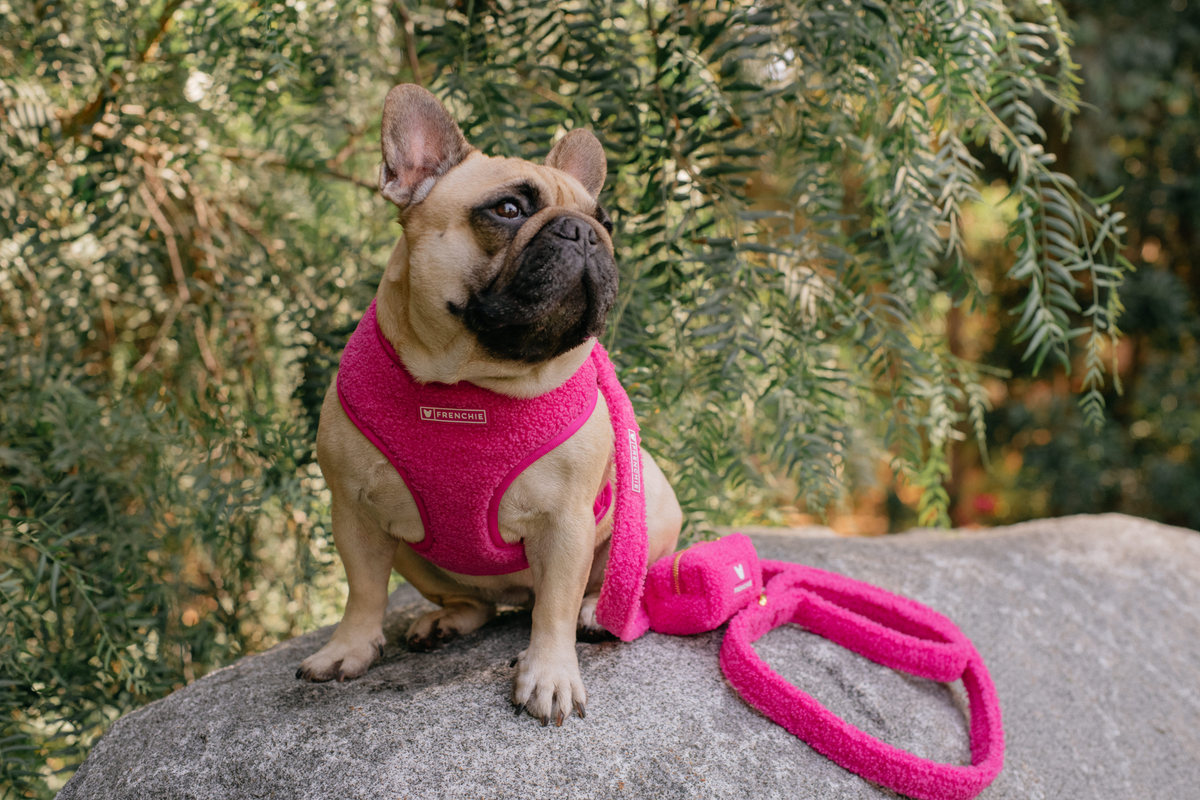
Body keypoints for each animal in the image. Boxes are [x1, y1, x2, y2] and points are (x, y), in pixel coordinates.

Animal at [297, 85, 682, 727]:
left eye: (605, 222)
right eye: (507, 210)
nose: (584, 232)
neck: (472, 379)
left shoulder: (566, 522)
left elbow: (554, 607)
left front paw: (549, 674)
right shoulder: (354, 510)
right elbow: (363, 589)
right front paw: (347, 649)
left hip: (647, 509)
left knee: (594, 589)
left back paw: (597, 613)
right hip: (417, 558)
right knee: (473, 602)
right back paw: (446, 620)